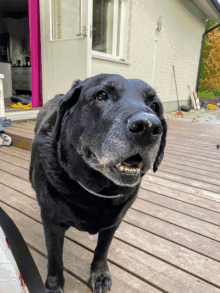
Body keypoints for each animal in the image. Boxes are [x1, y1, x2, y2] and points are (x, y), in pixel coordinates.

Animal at [29, 73, 167, 292]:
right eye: (101, 95)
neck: (97, 190)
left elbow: (102, 249)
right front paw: (54, 285)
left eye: (154, 105)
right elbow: (55, 258)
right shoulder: (52, 222)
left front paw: (99, 274)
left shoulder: (114, 222)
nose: (148, 126)